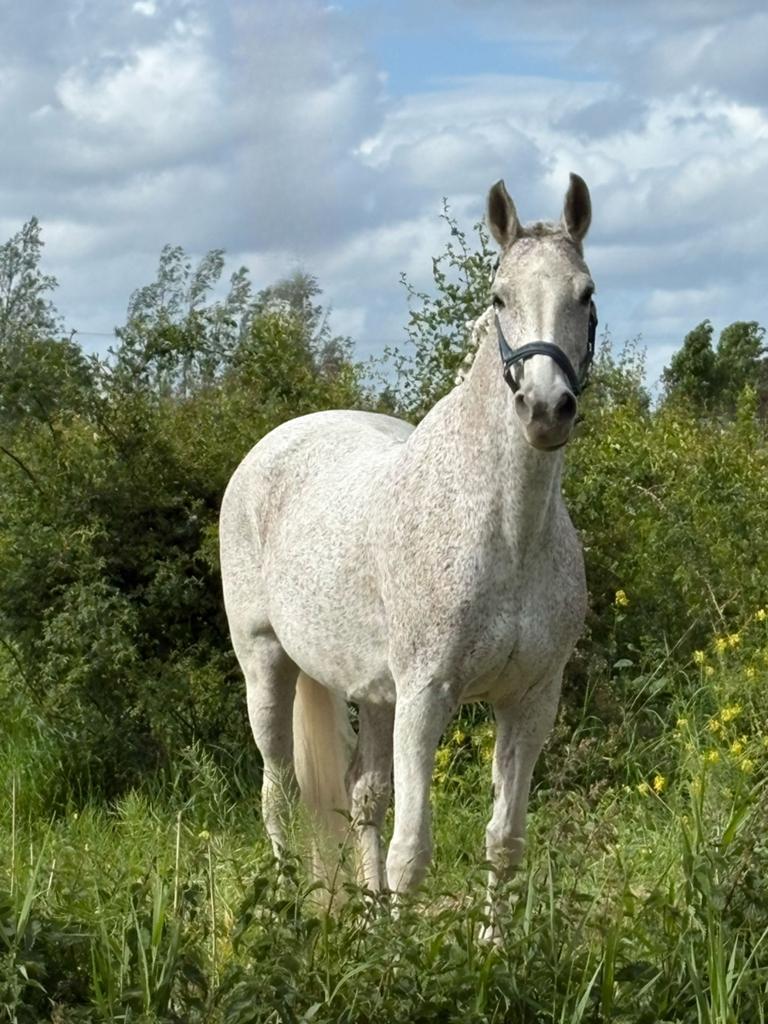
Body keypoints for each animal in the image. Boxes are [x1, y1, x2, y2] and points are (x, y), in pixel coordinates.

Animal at [220, 173, 595, 933]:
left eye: (586, 293)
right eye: (498, 297)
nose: (545, 410)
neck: (506, 531)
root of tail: (272, 444)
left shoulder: (530, 702)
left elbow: (503, 840)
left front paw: (492, 946)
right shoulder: (427, 696)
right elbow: (412, 850)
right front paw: (404, 956)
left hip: (372, 692)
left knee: (360, 796)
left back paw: (364, 917)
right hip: (266, 666)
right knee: (277, 790)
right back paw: (285, 908)